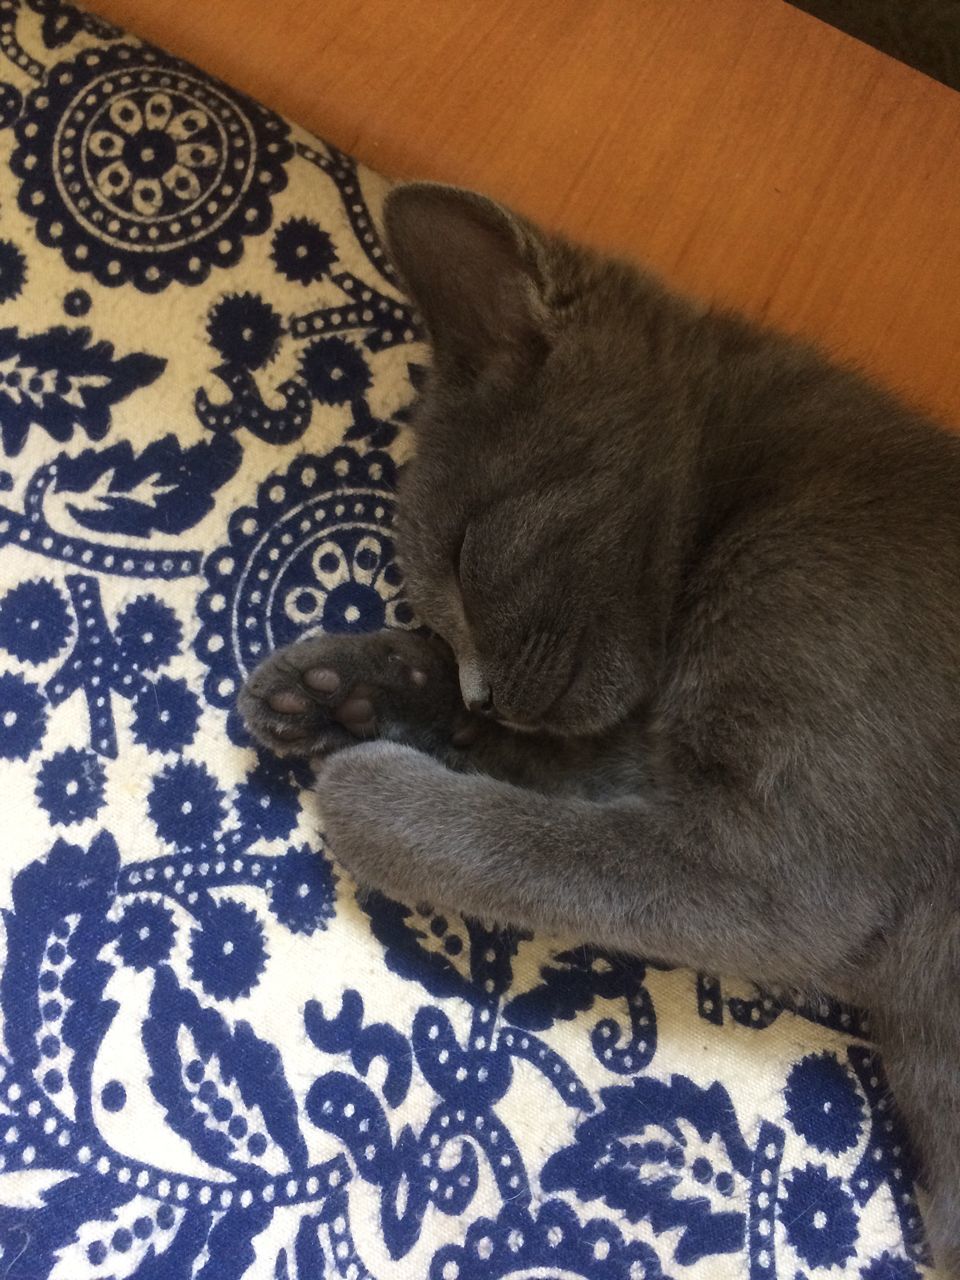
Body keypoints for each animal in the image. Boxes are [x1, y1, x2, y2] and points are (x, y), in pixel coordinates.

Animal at [240, 180, 960, 1269]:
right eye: (435, 600)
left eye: (465, 555)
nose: (483, 690)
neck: (741, 500)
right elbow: (562, 768)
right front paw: (349, 686)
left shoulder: (784, 865)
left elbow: (550, 850)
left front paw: (370, 789)